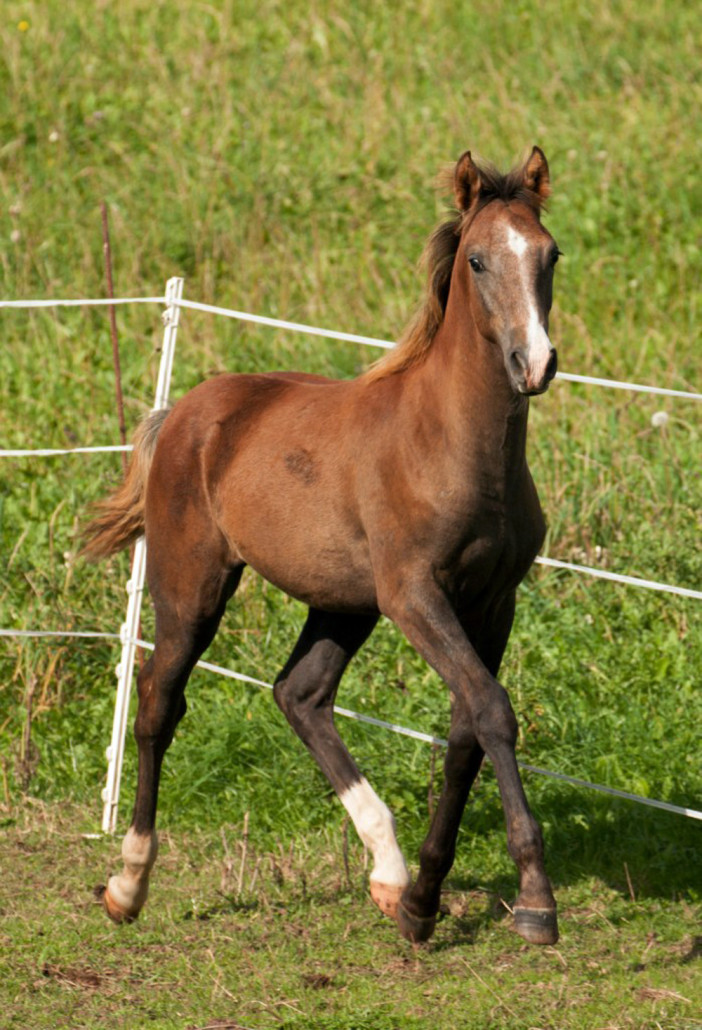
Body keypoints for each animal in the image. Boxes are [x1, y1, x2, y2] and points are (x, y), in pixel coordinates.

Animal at [83, 146, 561, 946]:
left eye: (549, 255)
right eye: (477, 260)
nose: (536, 363)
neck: (457, 448)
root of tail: (182, 412)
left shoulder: (494, 602)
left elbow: (468, 729)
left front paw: (422, 903)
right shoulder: (415, 596)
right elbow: (493, 712)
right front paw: (535, 900)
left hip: (342, 604)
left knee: (300, 695)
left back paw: (388, 874)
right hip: (192, 587)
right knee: (157, 702)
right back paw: (127, 884)